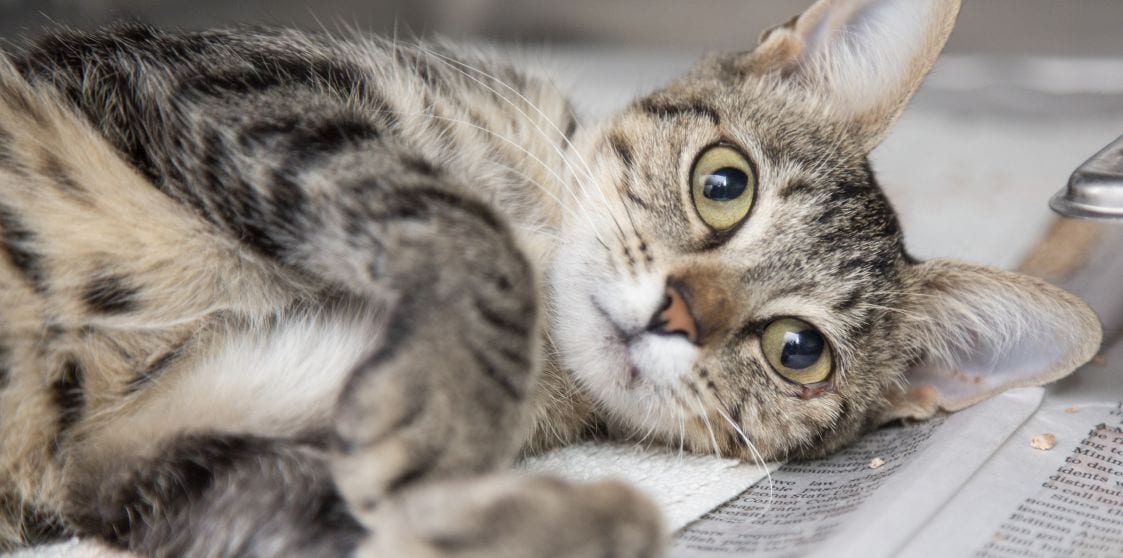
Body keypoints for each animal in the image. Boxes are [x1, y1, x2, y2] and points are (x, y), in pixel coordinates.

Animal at [0, 0, 1096, 554]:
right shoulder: (242, 91)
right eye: (724, 183)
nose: (673, 315)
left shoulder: (136, 452)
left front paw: (571, 518)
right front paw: (454, 408)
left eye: (799, 352)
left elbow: (327, 507)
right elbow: (467, 232)